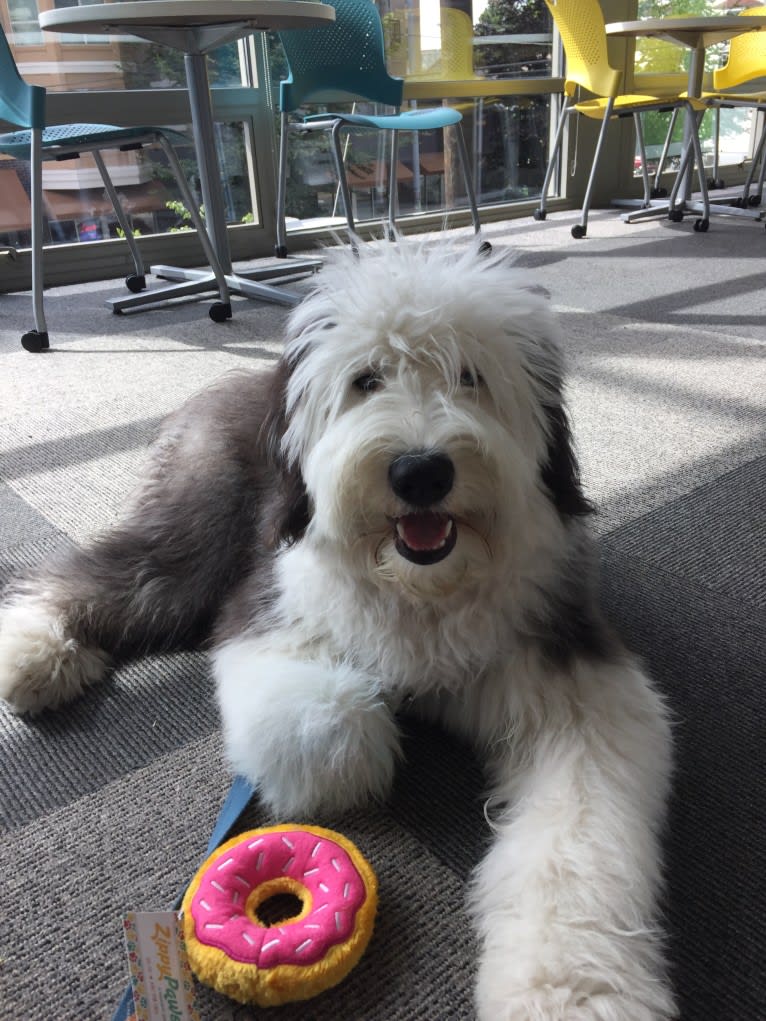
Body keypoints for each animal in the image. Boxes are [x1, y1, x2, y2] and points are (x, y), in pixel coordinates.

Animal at [0, 240, 674, 1021]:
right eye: (366, 380)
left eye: (470, 376)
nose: (420, 471)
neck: (422, 586)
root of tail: (235, 382)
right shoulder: (268, 604)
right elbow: (333, 724)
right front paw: (363, 754)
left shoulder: (574, 682)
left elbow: (576, 844)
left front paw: (570, 991)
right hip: (198, 533)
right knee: (106, 572)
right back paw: (32, 652)